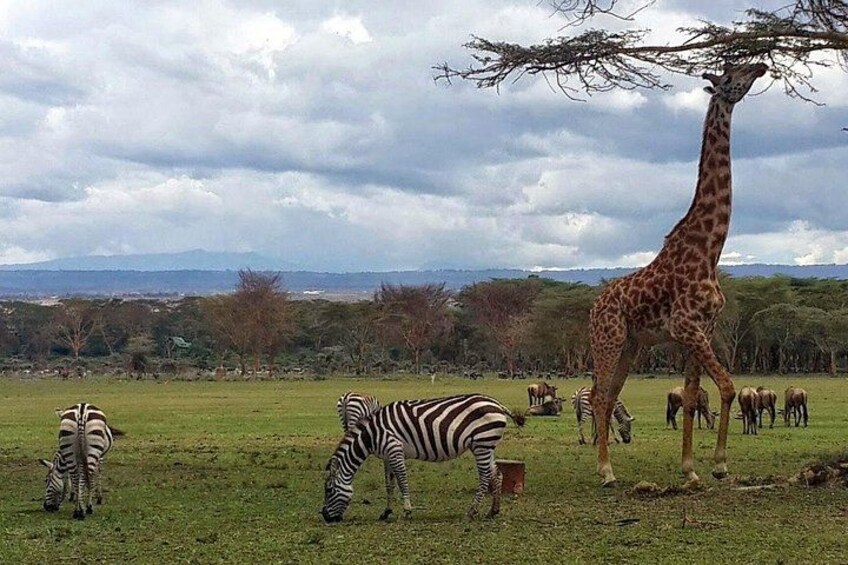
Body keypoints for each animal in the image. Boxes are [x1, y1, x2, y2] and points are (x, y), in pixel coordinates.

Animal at [588, 62, 768, 488]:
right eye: (732, 74)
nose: (761, 65)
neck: (709, 250)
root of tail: (593, 306)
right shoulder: (687, 326)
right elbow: (727, 386)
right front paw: (718, 464)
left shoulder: (702, 328)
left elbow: (690, 397)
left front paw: (690, 469)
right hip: (607, 339)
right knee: (599, 395)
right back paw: (606, 472)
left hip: (631, 345)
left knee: (608, 395)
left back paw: (605, 465)